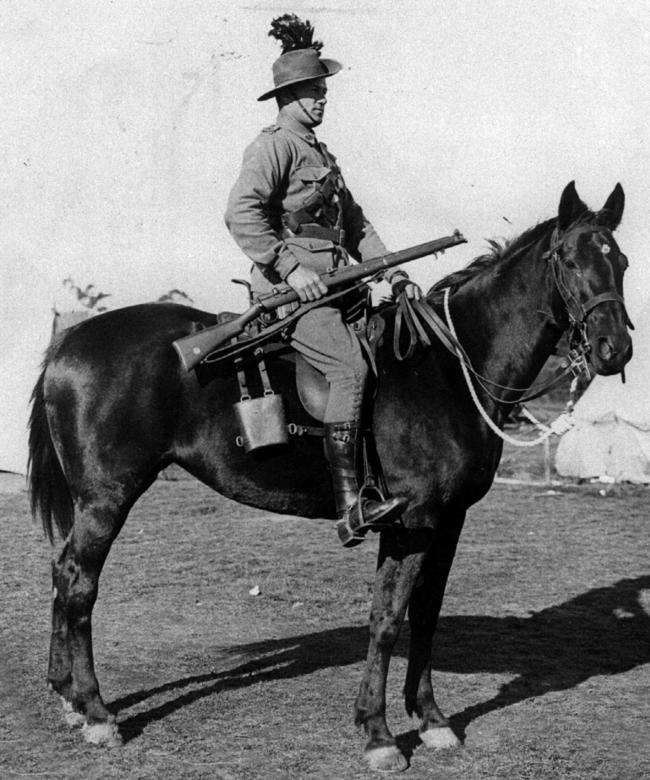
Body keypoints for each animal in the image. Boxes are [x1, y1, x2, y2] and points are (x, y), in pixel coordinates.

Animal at [27, 181, 632, 768]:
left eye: (621, 261)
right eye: (570, 261)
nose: (615, 349)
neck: (450, 368)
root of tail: (66, 343)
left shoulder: (449, 521)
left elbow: (426, 615)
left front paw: (432, 721)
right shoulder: (412, 523)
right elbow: (387, 618)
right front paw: (379, 734)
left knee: (61, 571)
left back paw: (67, 696)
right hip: (107, 498)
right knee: (78, 582)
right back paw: (97, 713)